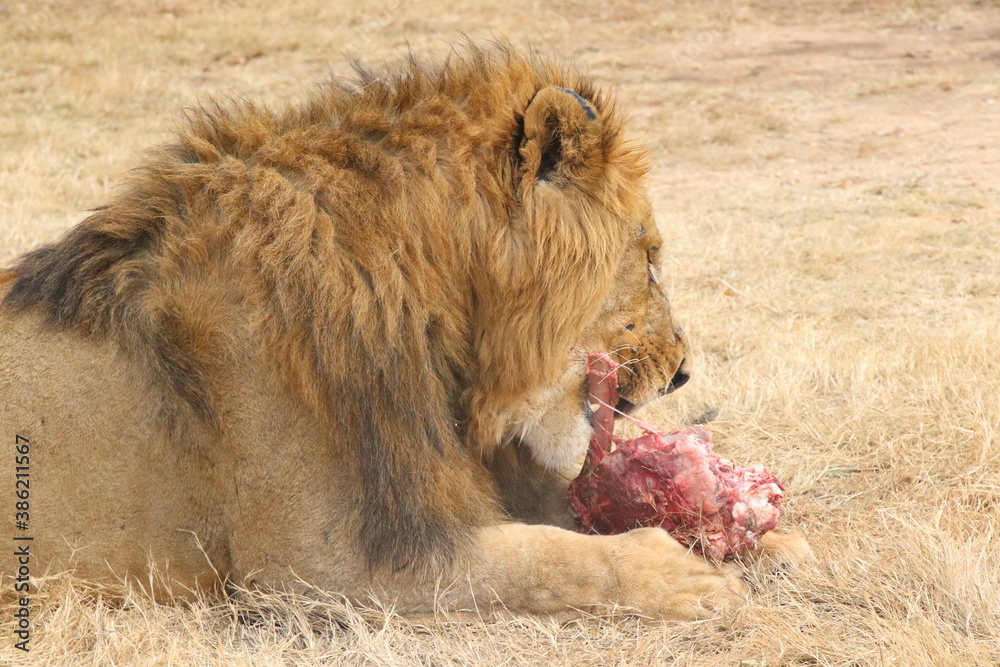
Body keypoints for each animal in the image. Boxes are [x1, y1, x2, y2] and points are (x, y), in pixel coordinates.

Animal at [0, 46, 801, 620]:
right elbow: (548, 559)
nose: (684, 372)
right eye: (653, 256)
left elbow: (560, 519)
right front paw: (684, 574)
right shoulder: (317, 562)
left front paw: (770, 537)